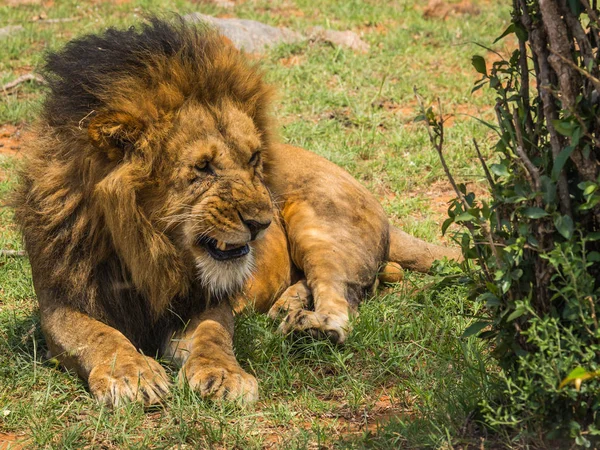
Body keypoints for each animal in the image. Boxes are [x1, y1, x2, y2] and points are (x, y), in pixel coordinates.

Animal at [14, 17, 462, 406]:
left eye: (253, 159)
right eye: (203, 168)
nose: (262, 224)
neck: (147, 252)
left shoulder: (206, 301)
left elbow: (212, 336)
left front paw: (224, 376)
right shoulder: (59, 304)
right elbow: (98, 336)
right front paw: (132, 375)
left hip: (319, 221)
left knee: (341, 298)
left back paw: (312, 328)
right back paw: (289, 309)